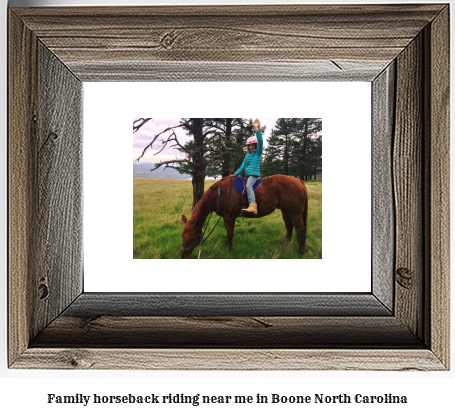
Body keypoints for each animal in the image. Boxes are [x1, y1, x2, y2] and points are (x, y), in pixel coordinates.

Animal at [182, 174, 310, 258]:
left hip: (295, 213)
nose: (183, 256)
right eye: (182, 236)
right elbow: (227, 231)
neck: (220, 193)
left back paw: (301, 251)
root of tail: (298, 180)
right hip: (286, 211)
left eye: (192, 238)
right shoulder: (226, 217)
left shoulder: (229, 216)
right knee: (289, 227)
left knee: (300, 229)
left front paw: (230, 249)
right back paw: (287, 245)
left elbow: (230, 232)